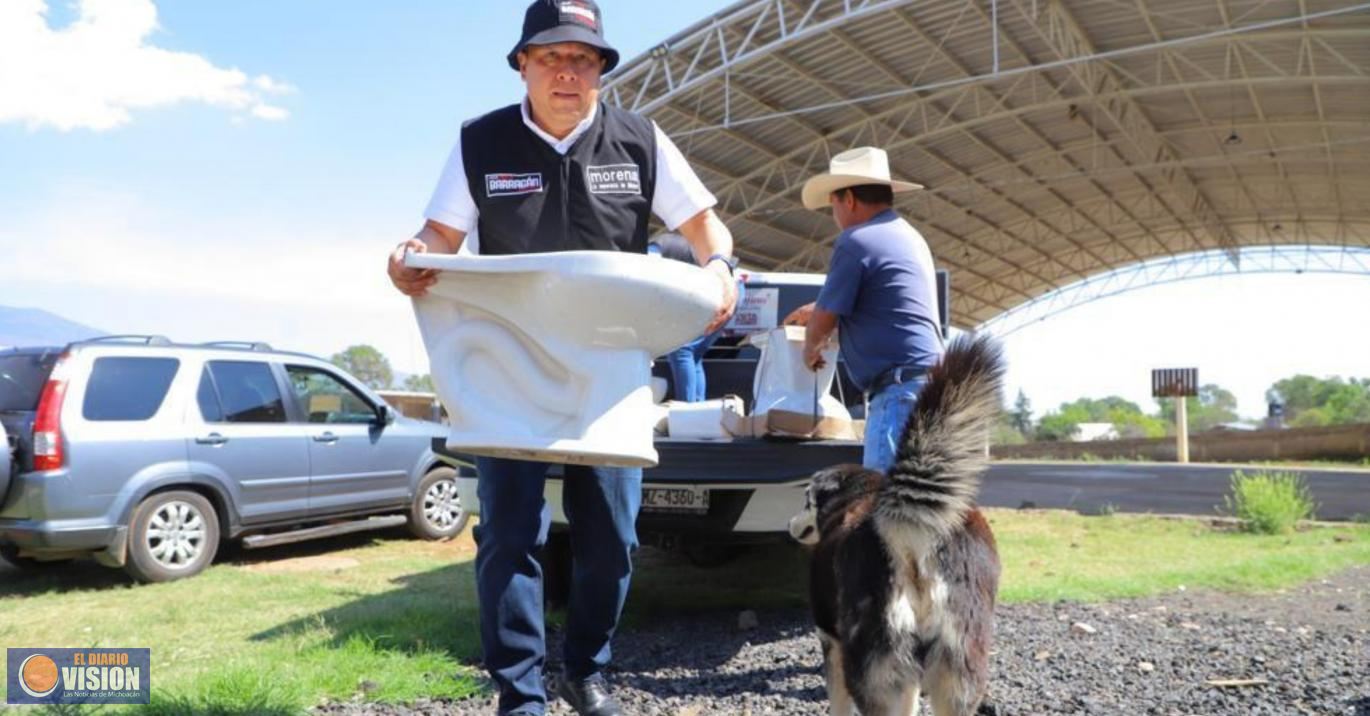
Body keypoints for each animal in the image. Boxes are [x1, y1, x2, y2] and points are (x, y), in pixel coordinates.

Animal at [789, 338, 1002, 716]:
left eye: (805, 501)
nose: (789, 523)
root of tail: (913, 532)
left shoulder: (830, 638)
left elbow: (837, 702)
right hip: (957, 670)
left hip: (875, 668)